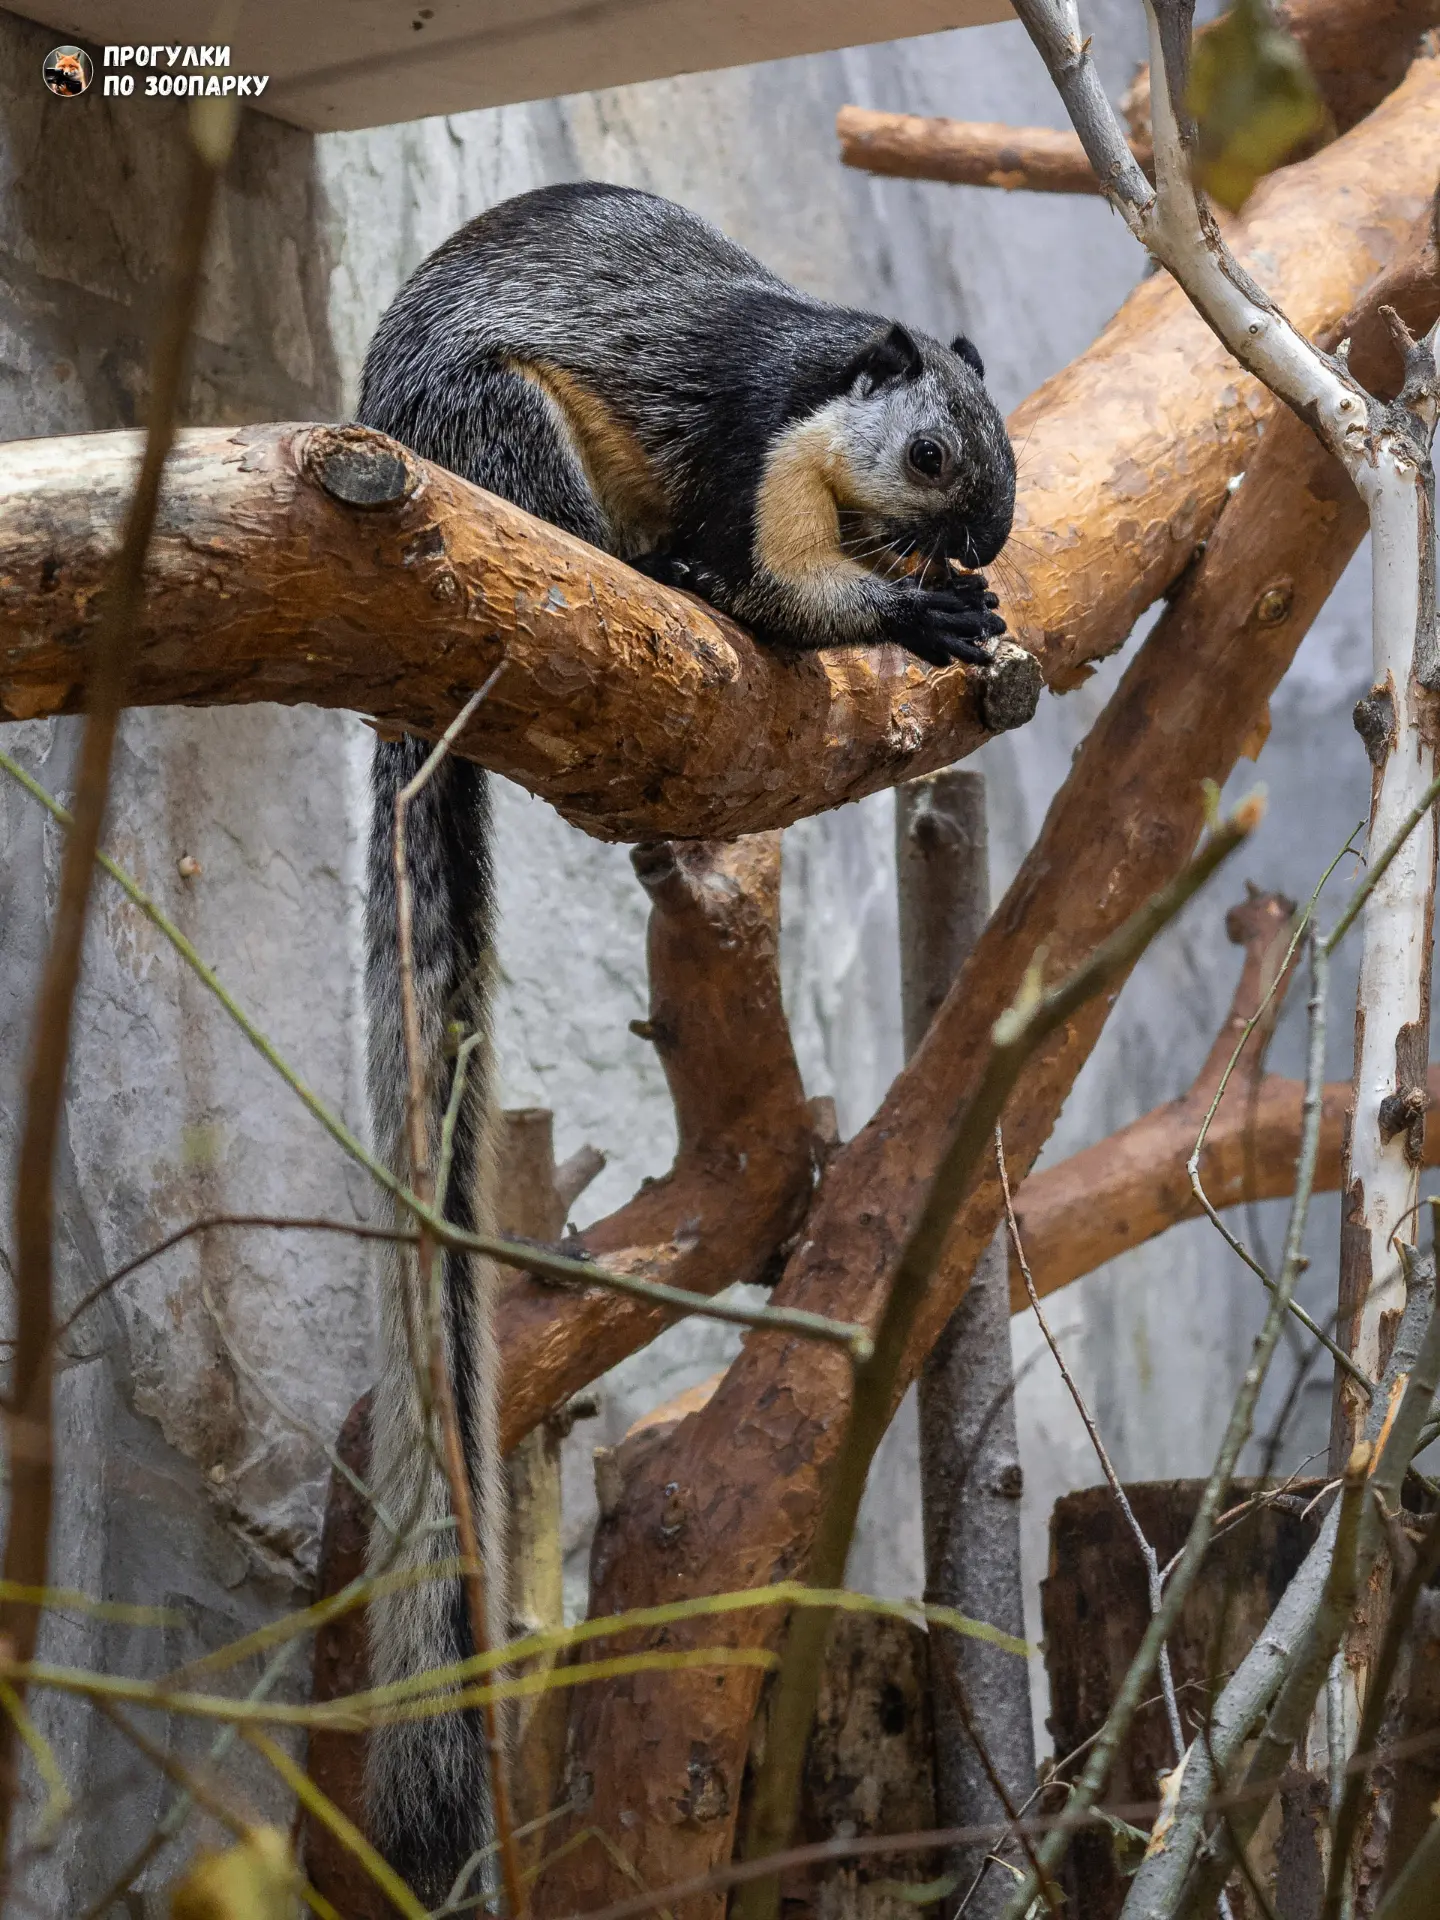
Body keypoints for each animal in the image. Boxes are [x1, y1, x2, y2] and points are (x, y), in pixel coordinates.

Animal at [356, 180, 1016, 1903]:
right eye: (935, 451)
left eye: (1006, 460)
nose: (985, 540)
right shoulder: (752, 447)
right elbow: (774, 588)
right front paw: (908, 608)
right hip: (498, 432)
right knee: (608, 544)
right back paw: (648, 563)